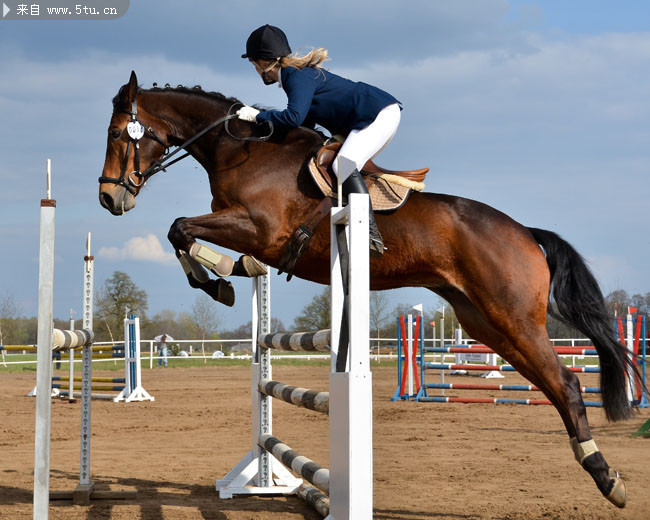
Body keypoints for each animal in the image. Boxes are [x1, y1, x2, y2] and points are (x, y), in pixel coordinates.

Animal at [98, 71, 636, 506]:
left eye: (116, 134)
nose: (108, 198)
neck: (241, 152)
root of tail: (525, 232)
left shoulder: (260, 229)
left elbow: (180, 228)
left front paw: (218, 281)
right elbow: (182, 232)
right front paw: (227, 277)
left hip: (514, 318)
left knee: (566, 384)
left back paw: (607, 478)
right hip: (486, 324)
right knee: (550, 384)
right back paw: (597, 468)